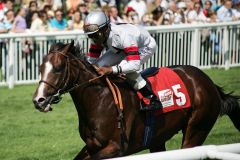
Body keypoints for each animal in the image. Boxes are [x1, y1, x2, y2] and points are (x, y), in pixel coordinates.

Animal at [32, 41, 240, 159]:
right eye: (41, 68)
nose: (39, 100)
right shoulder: (91, 146)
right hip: (157, 139)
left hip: (196, 129)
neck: (99, 100)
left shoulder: (117, 148)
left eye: (58, 68)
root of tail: (209, 82)